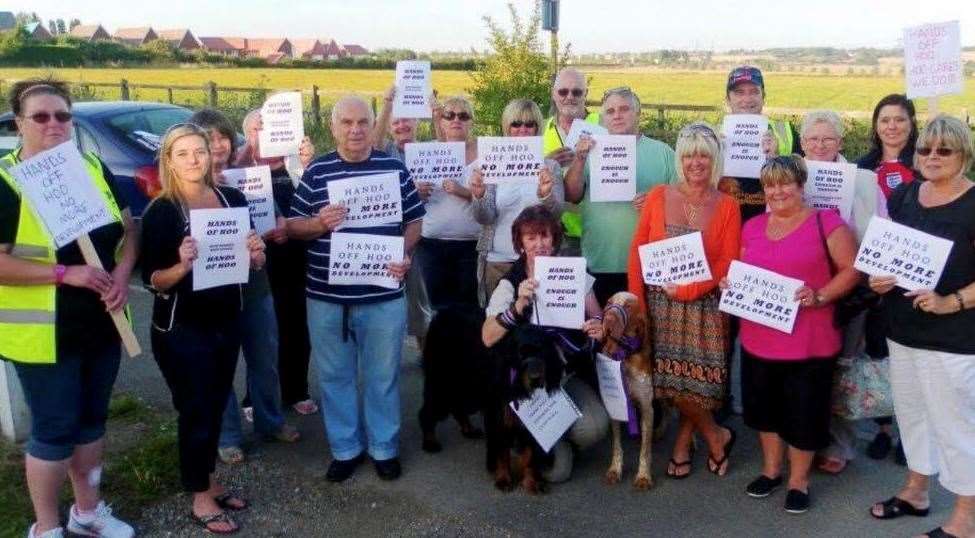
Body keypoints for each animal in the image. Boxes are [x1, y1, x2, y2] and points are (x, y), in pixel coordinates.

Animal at [422, 304, 492, 450]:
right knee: (429, 410)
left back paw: (469, 430)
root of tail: (440, 316)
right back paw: (430, 441)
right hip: (444, 381)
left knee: (458, 406)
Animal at [486, 324, 568, 492]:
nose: (535, 378)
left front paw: (531, 482)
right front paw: (503, 479)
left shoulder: (532, 430)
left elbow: (530, 456)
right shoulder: (501, 421)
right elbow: (502, 453)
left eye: (541, 351)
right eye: (521, 354)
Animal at [596, 292, 656, 488]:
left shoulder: (647, 408)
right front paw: (615, 470)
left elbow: (645, 450)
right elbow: (616, 445)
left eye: (629, 306)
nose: (608, 319)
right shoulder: (614, 406)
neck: (626, 355)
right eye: (609, 303)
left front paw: (643, 476)